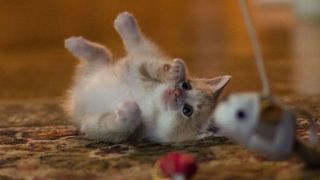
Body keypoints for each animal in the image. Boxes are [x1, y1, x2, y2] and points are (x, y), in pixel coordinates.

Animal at [63, 11, 231, 143]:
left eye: (187, 110)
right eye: (186, 85)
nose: (176, 92)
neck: (150, 102)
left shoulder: (97, 126)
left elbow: (121, 125)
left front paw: (129, 109)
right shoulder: (136, 69)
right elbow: (151, 66)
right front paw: (174, 71)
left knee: (103, 52)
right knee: (114, 50)